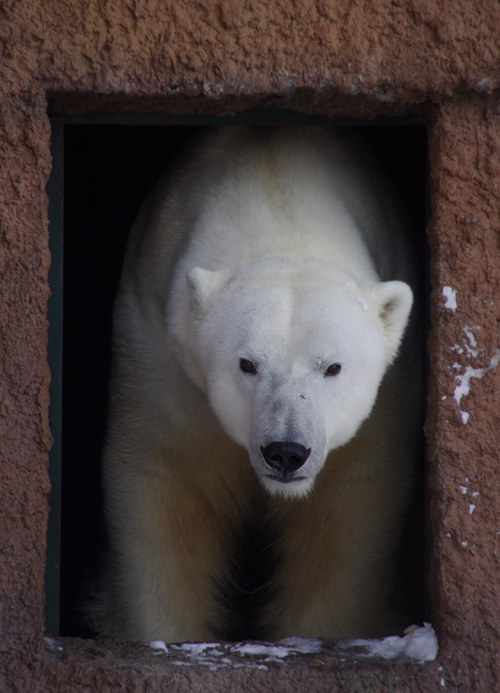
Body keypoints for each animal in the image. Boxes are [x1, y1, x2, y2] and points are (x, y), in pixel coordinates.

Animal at [94, 125, 422, 644]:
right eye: (247, 364)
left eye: (332, 367)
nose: (286, 451)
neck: (274, 197)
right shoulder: (157, 356)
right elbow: (165, 484)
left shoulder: (389, 395)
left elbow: (348, 508)